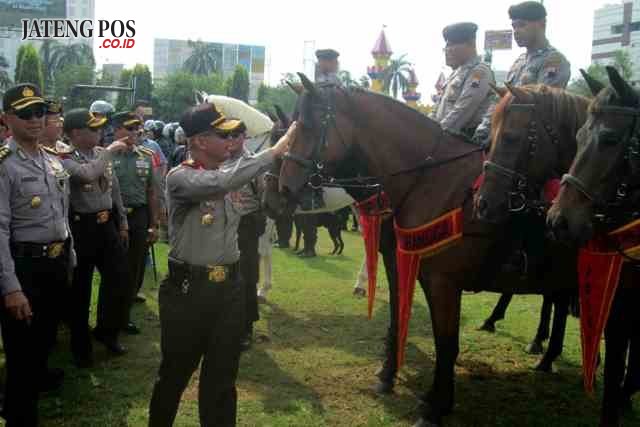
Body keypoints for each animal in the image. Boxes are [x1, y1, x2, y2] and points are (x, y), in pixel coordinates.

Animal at [278, 75, 584, 426]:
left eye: (310, 125)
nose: (283, 187)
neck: (430, 184)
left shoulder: (443, 282)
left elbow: (446, 343)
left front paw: (435, 406)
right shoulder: (400, 262)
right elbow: (400, 316)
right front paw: (388, 373)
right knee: (558, 301)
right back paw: (545, 354)